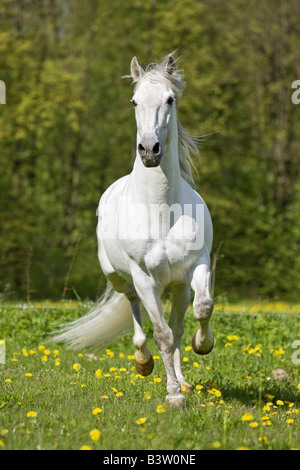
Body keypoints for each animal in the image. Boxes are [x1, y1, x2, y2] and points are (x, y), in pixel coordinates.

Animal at [53, 54, 213, 408]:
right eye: (134, 101)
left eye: (170, 99)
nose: (149, 150)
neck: (162, 211)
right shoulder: (144, 278)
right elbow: (161, 335)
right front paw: (173, 397)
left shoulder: (197, 266)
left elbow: (202, 309)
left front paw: (202, 346)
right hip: (120, 278)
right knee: (137, 314)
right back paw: (144, 363)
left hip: (177, 286)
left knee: (179, 323)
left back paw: (183, 379)